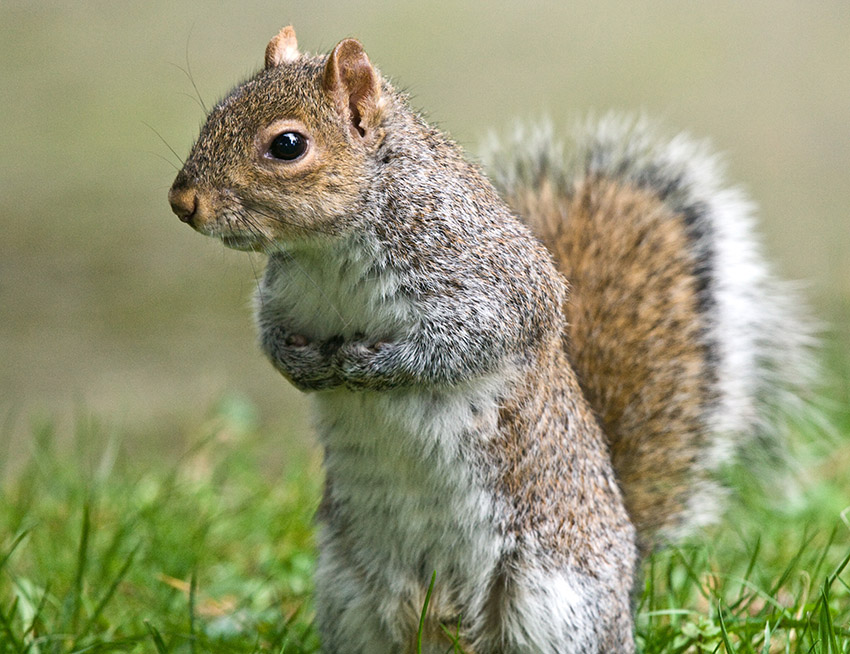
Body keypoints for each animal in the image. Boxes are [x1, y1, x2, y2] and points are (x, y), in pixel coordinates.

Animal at [169, 25, 812, 654]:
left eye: (287, 145)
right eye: (215, 113)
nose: (182, 202)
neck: (325, 250)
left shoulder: (493, 285)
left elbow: (463, 343)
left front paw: (368, 364)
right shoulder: (280, 298)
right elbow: (269, 335)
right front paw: (300, 365)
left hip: (551, 601)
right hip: (351, 596)